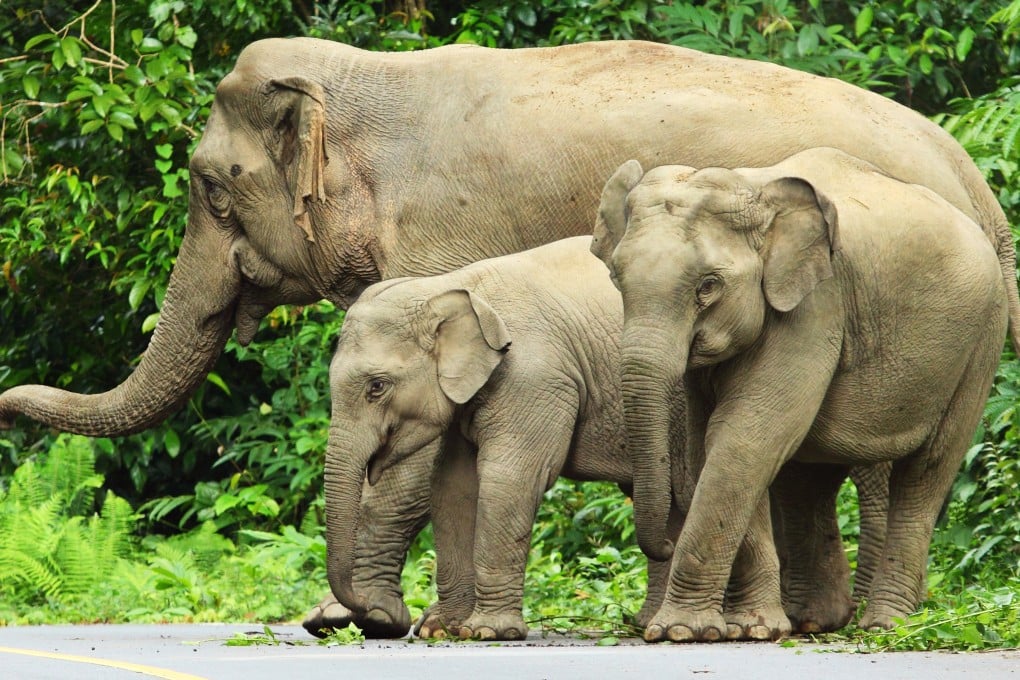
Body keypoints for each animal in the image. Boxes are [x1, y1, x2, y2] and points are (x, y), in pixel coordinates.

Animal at [323, 236, 789, 641]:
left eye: (377, 387)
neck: (452, 285)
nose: (360, 609)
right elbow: (452, 487)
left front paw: (489, 633)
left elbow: (510, 478)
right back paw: (650, 622)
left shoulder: (534, 375)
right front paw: (442, 630)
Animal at [591, 146, 1013, 642]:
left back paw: (884, 625)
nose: (663, 544)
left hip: (980, 342)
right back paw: (811, 621)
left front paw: (683, 632)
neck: (753, 189)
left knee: (926, 470)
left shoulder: (816, 307)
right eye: (616, 278)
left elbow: (744, 437)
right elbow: (712, 444)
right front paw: (748, 629)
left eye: (708, 286)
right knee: (805, 478)